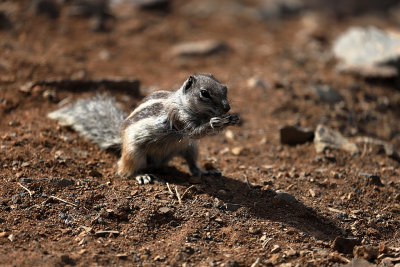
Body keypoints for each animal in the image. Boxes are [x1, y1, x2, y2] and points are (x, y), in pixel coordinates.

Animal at [48, 74, 239, 185]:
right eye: (204, 93)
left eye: (225, 88)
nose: (227, 108)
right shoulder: (178, 118)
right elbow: (194, 131)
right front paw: (215, 122)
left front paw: (232, 119)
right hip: (135, 153)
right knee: (123, 170)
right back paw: (141, 175)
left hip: (190, 148)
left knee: (193, 166)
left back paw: (205, 172)